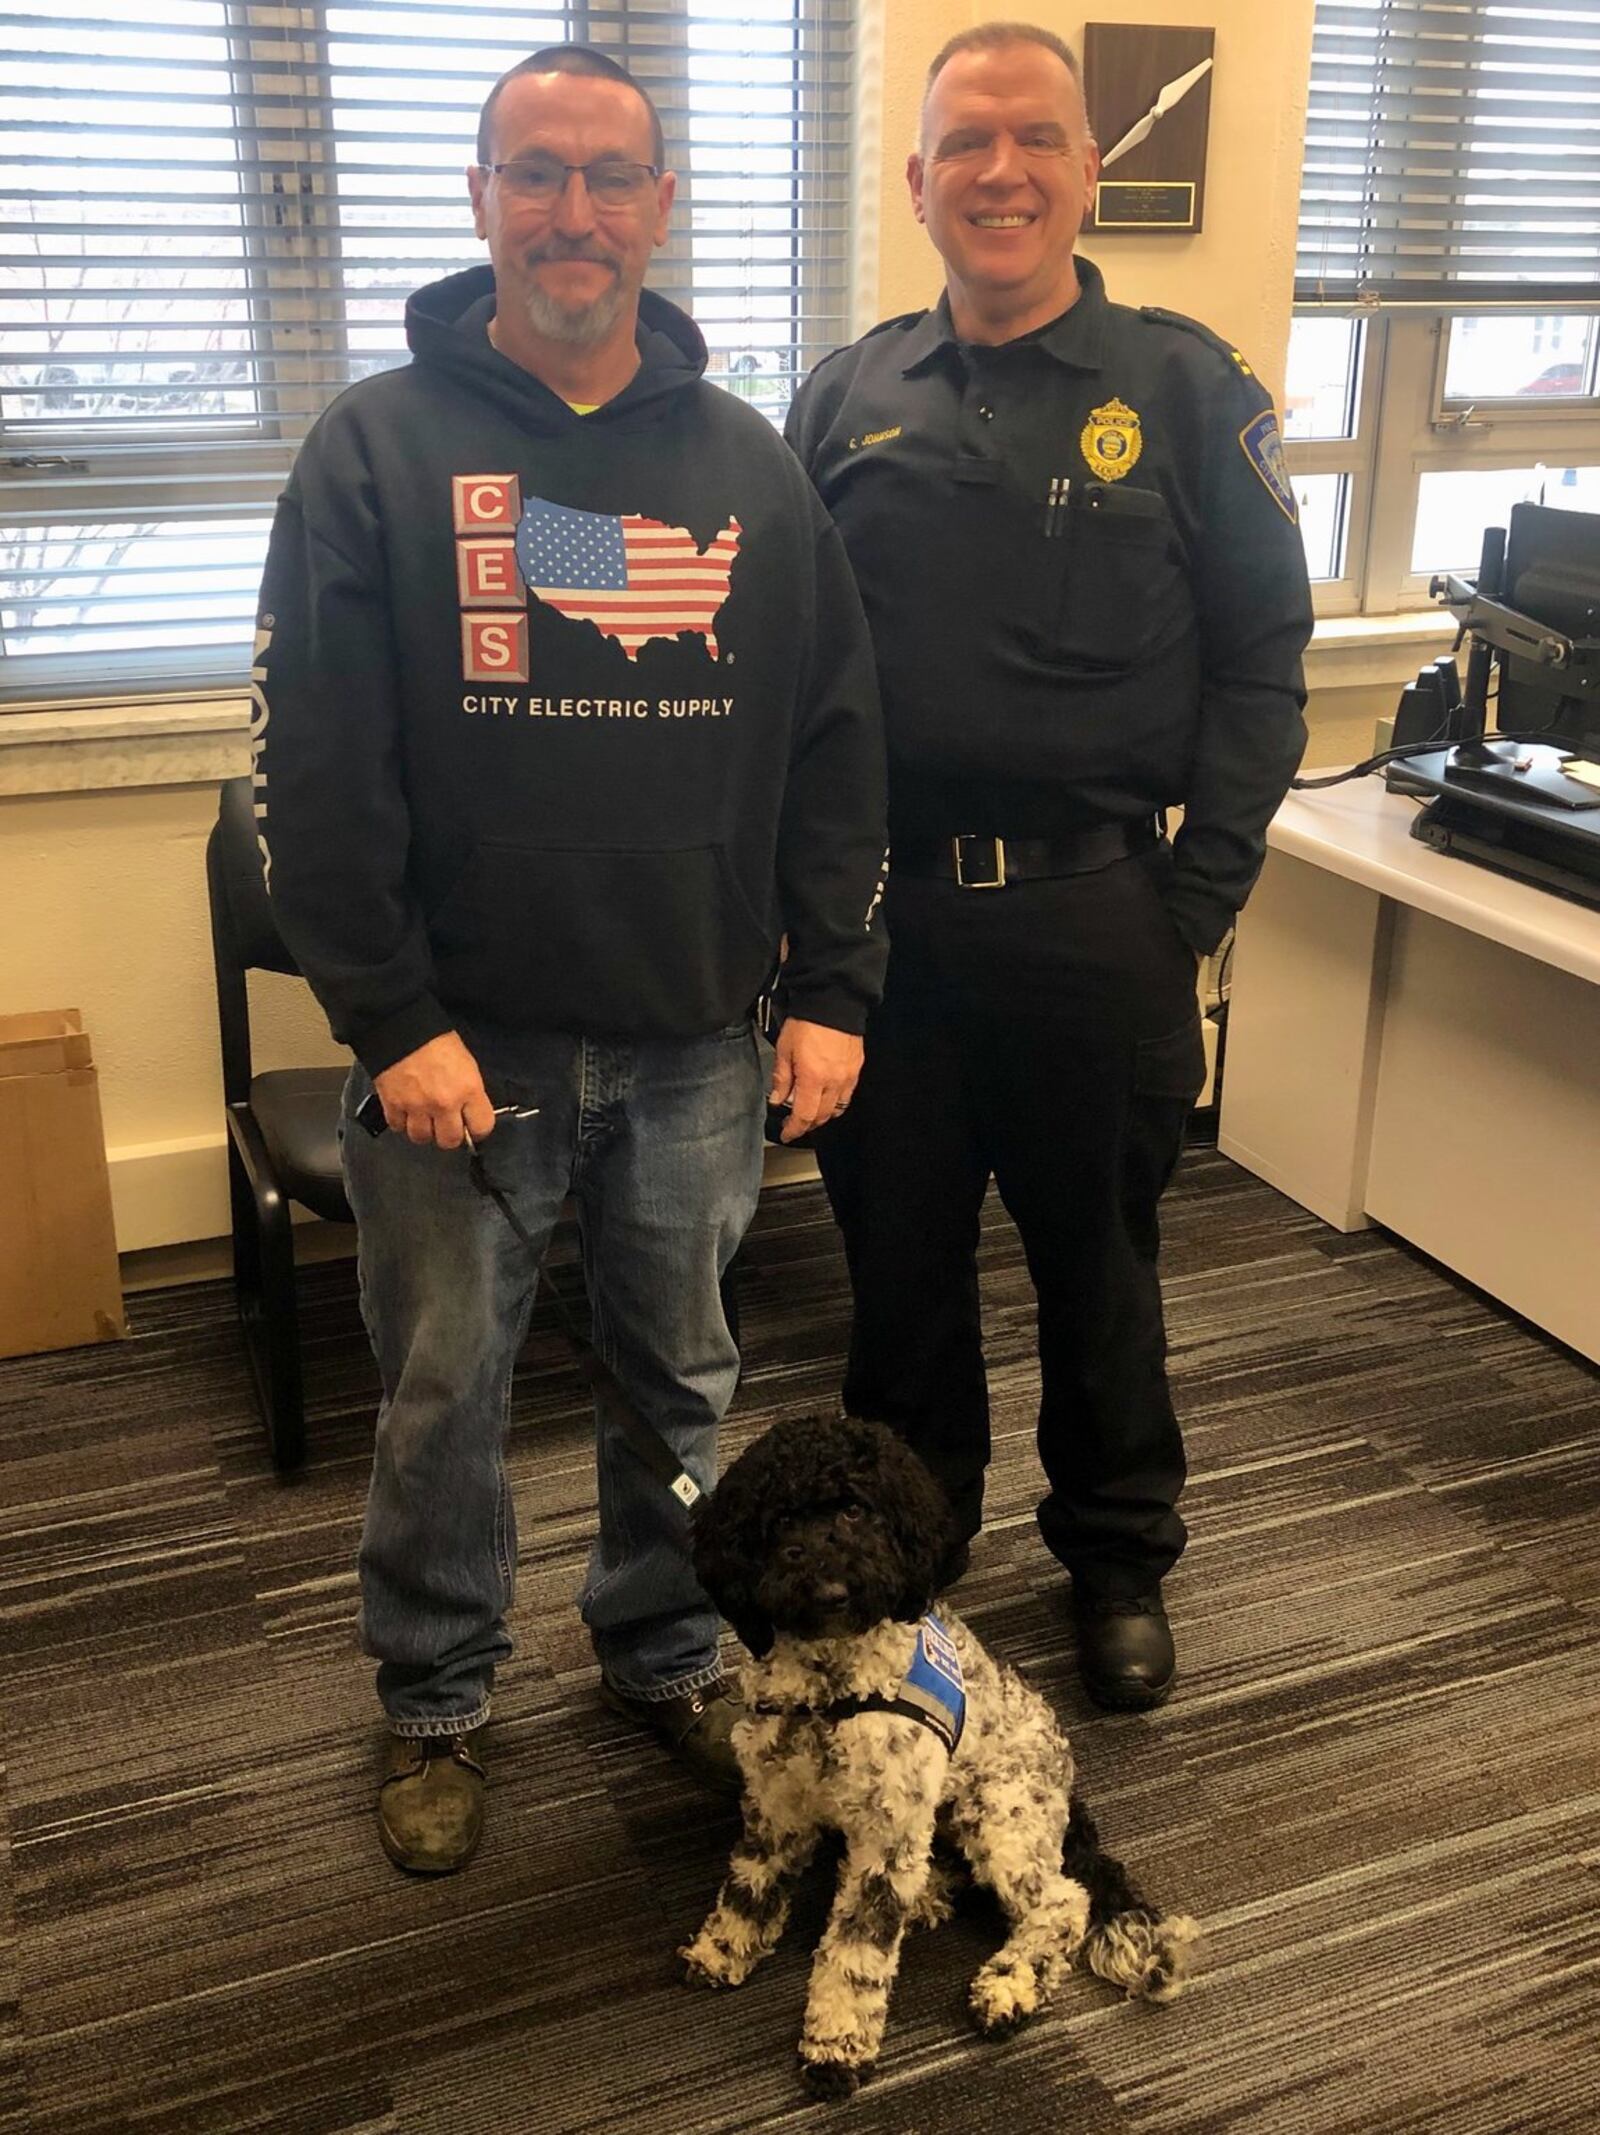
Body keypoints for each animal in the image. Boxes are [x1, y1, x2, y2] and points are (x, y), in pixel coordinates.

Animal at [679, 1417, 1196, 2100]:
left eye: (855, 1508)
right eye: (782, 1519)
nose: (830, 1587)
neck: (830, 1692)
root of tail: (1066, 1789)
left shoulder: (885, 1829)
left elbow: (856, 1954)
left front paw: (835, 2046)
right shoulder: (775, 1802)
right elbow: (749, 1882)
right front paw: (725, 1947)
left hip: (996, 1812)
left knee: (1063, 1903)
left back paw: (1008, 1987)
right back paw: (928, 1896)